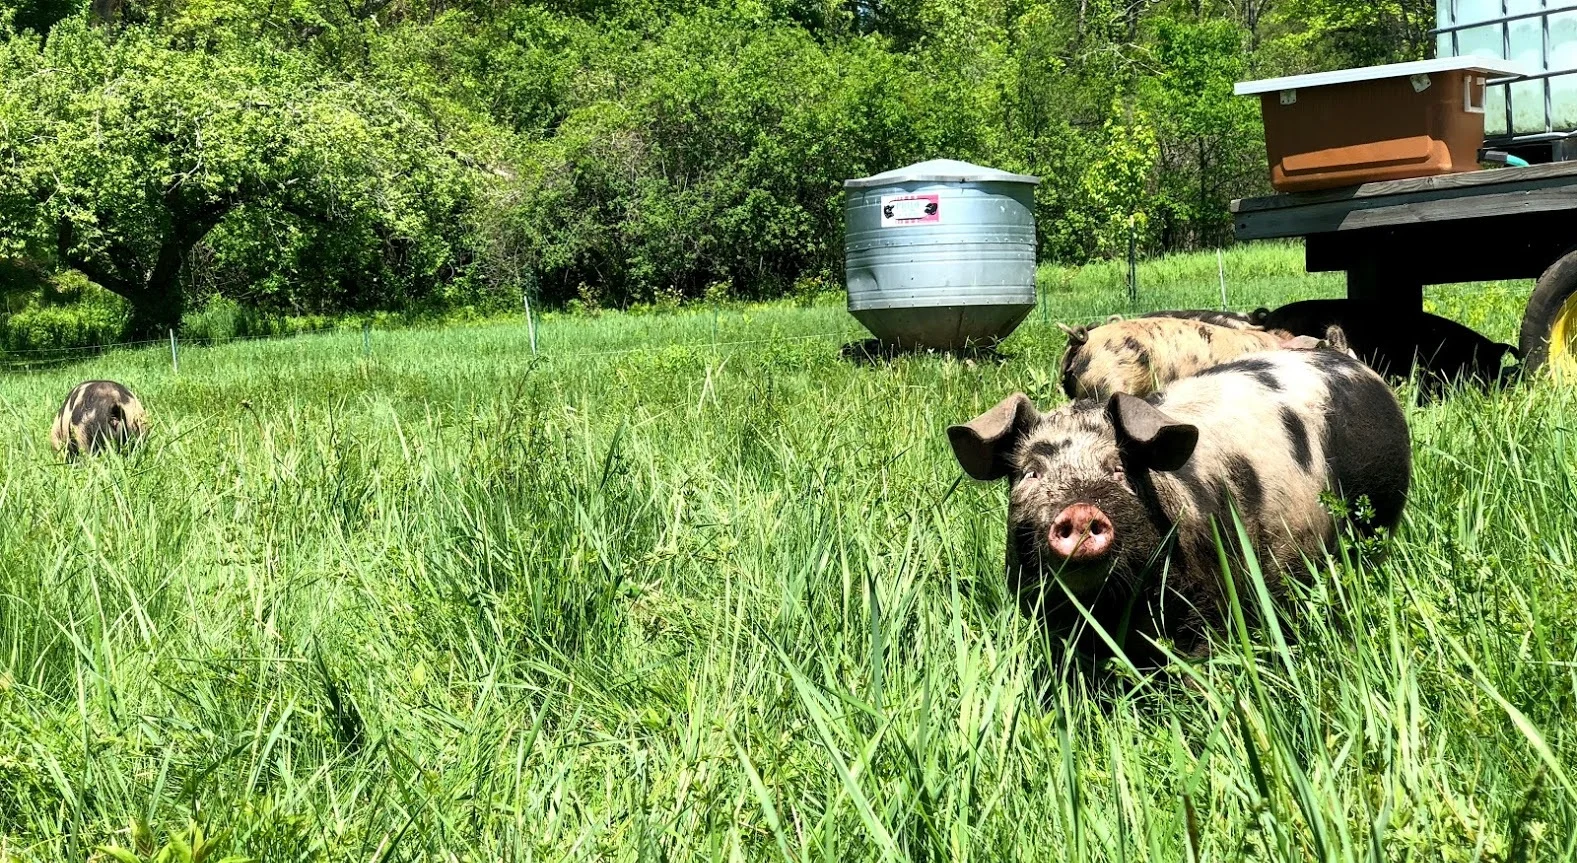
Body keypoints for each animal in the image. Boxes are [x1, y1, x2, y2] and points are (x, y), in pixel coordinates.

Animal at [948, 348, 1410, 663]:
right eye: (1030, 473)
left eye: (1120, 469)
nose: (1079, 511)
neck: (1107, 610)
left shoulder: (1205, 607)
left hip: (1379, 516)